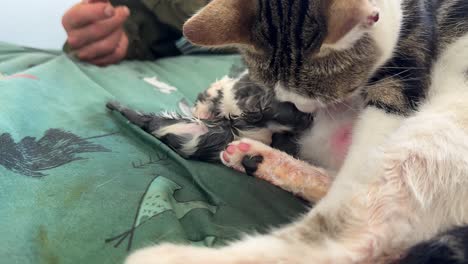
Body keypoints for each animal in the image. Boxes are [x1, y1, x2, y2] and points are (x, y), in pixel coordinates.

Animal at [122, 0, 468, 262]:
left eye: (317, 95)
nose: (300, 113)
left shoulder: (400, 77)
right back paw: (256, 158)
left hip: (440, 128)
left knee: (346, 233)